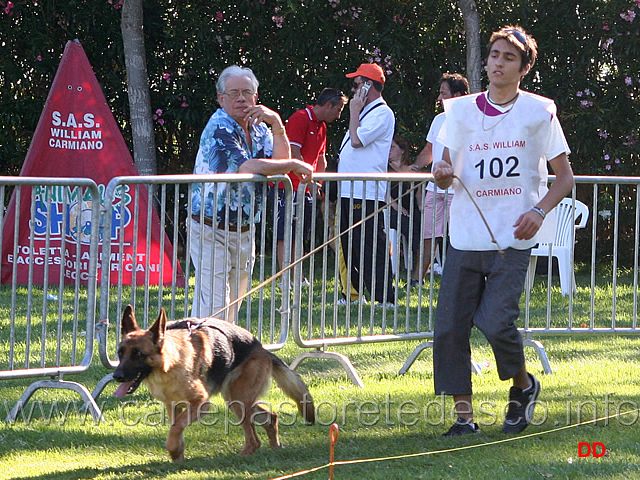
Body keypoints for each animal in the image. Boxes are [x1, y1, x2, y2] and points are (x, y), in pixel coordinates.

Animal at [115, 308, 318, 462]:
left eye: (138, 354)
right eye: (120, 353)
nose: (116, 376)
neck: (170, 364)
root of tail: (263, 349)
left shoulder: (200, 404)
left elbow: (177, 427)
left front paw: (173, 450)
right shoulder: (173, 405)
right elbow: (176, 428)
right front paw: (178, 455)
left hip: (238, 400)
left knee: (254, 439)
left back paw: (242, 456)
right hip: (235, 399)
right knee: (270, 416)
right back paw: (275, 446)